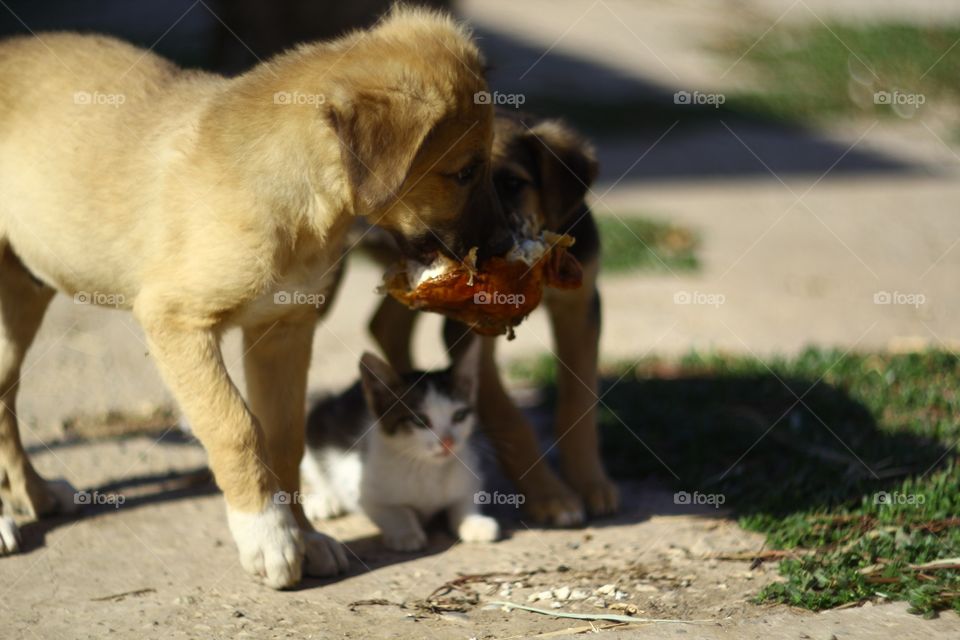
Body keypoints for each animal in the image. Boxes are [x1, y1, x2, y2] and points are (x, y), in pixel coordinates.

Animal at [300, 338, 498, 552]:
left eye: (459, 416)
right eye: (419, 420)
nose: (448, 441)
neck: (426, 467)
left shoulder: (468, 471)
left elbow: (463, 500)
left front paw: (474, 522)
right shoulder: (359, 484)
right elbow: (393, 511)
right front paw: (405, 533)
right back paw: (325, 501)